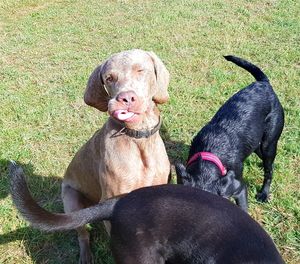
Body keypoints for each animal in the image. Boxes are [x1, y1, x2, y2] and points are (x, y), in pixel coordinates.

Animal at [62, 49, 170, 262]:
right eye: (109, 78)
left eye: (140, 70)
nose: (126, 99)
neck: (138, 139)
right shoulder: (113, 202)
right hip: (71, 201)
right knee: (82, 234)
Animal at [176, 54, 284, 211]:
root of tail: (264, 83)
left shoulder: (239, 188)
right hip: (255, 141)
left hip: (269, 142)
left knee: (268, 170)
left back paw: (264, 194)